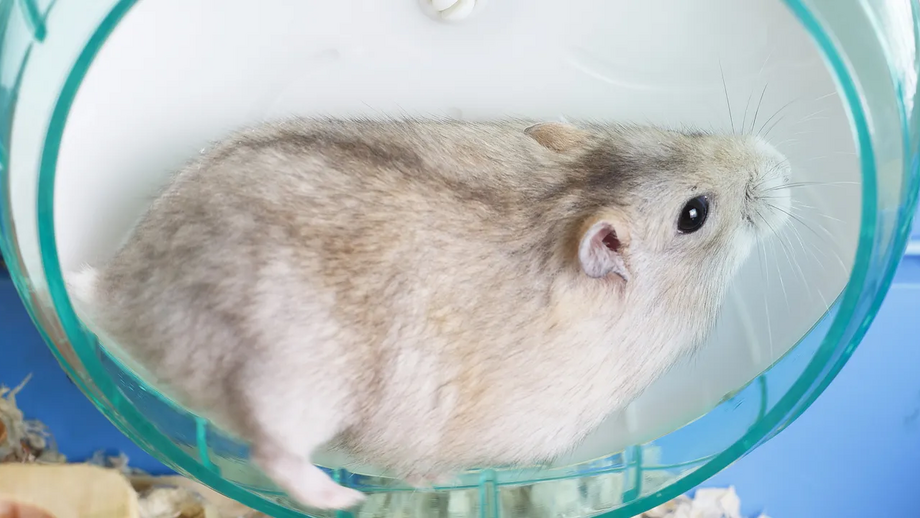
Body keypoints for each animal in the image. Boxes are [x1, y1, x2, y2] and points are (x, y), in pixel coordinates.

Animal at [66, 118, 791, 510]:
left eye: (686, 132)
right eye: (695, 213)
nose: (783, 165)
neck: (561, 202)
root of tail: (119, 292)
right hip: (288, 384)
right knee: (273, 453)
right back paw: (346, 497)